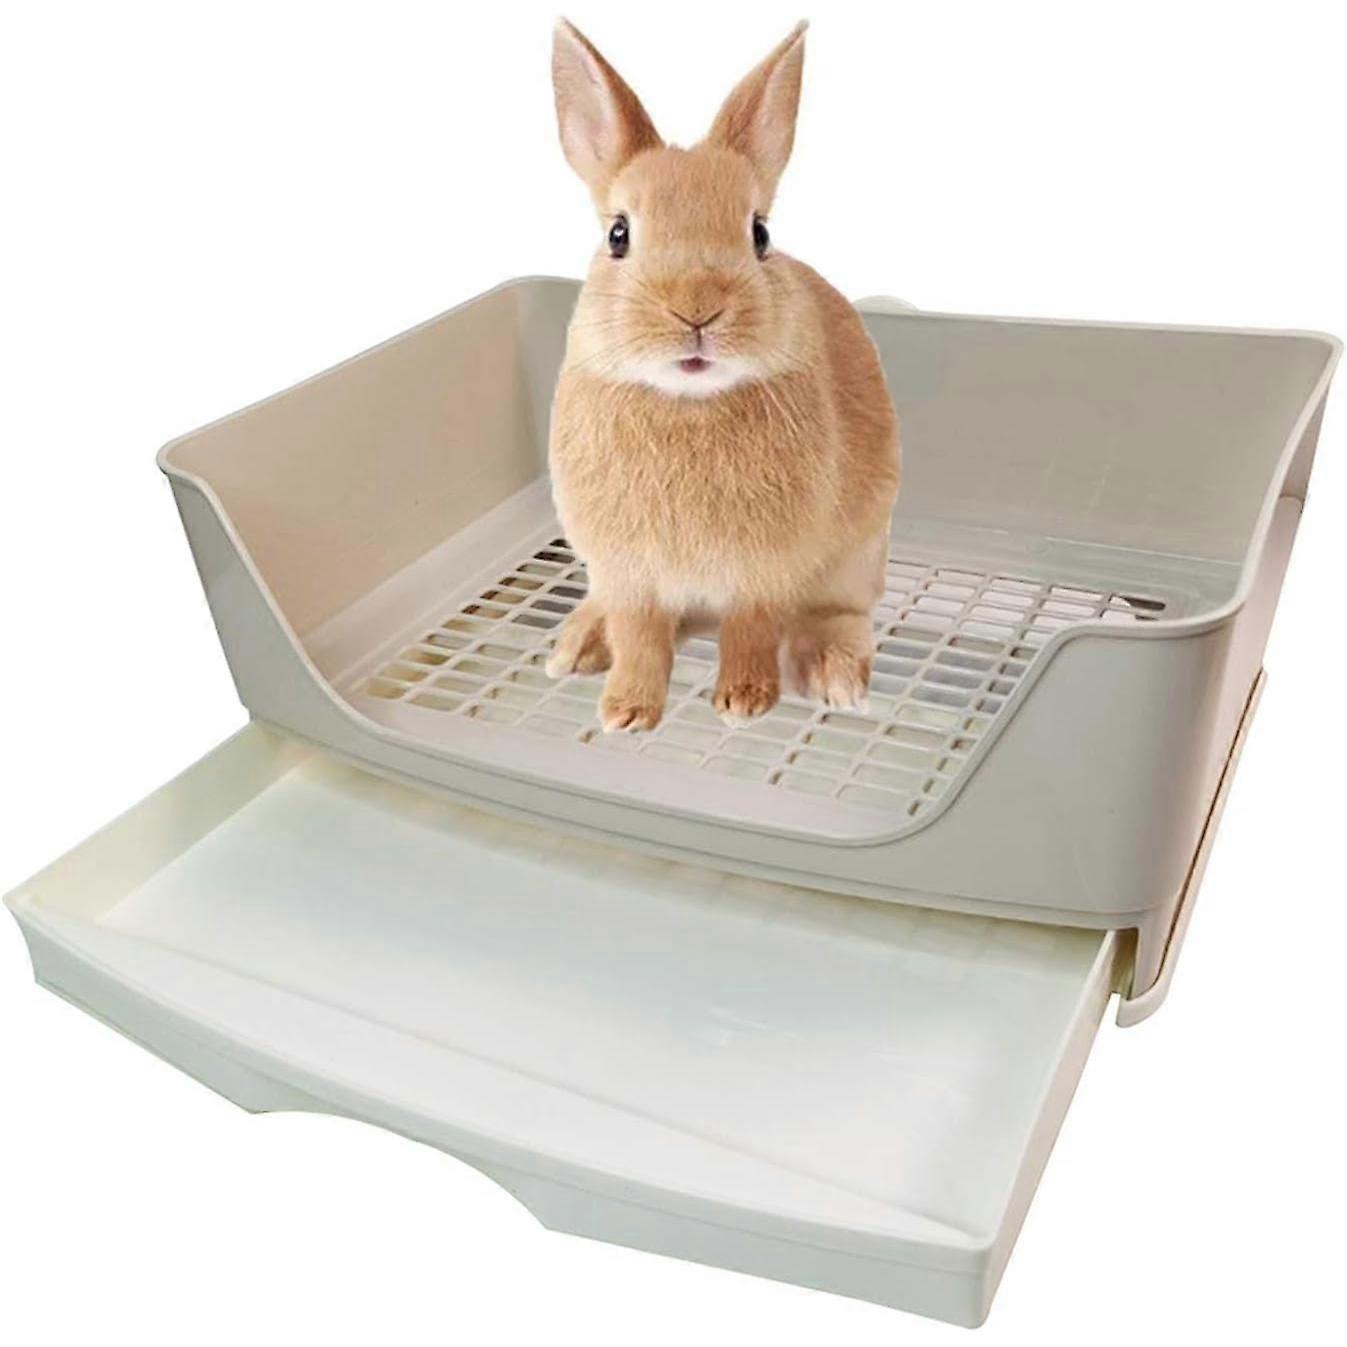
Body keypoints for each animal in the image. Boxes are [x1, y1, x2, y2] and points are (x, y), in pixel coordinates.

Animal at [547, 19, 900, 733]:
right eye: (619, 234)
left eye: (760, 233)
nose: (697, 308)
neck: (687, 402)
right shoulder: (629, 577)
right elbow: (640, 640)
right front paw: (625, 712)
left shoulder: (763, 576)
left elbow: (751, 631)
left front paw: (744, 701)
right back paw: (578, 644)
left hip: (857, 557)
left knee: (837, 615)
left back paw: (835, 675)